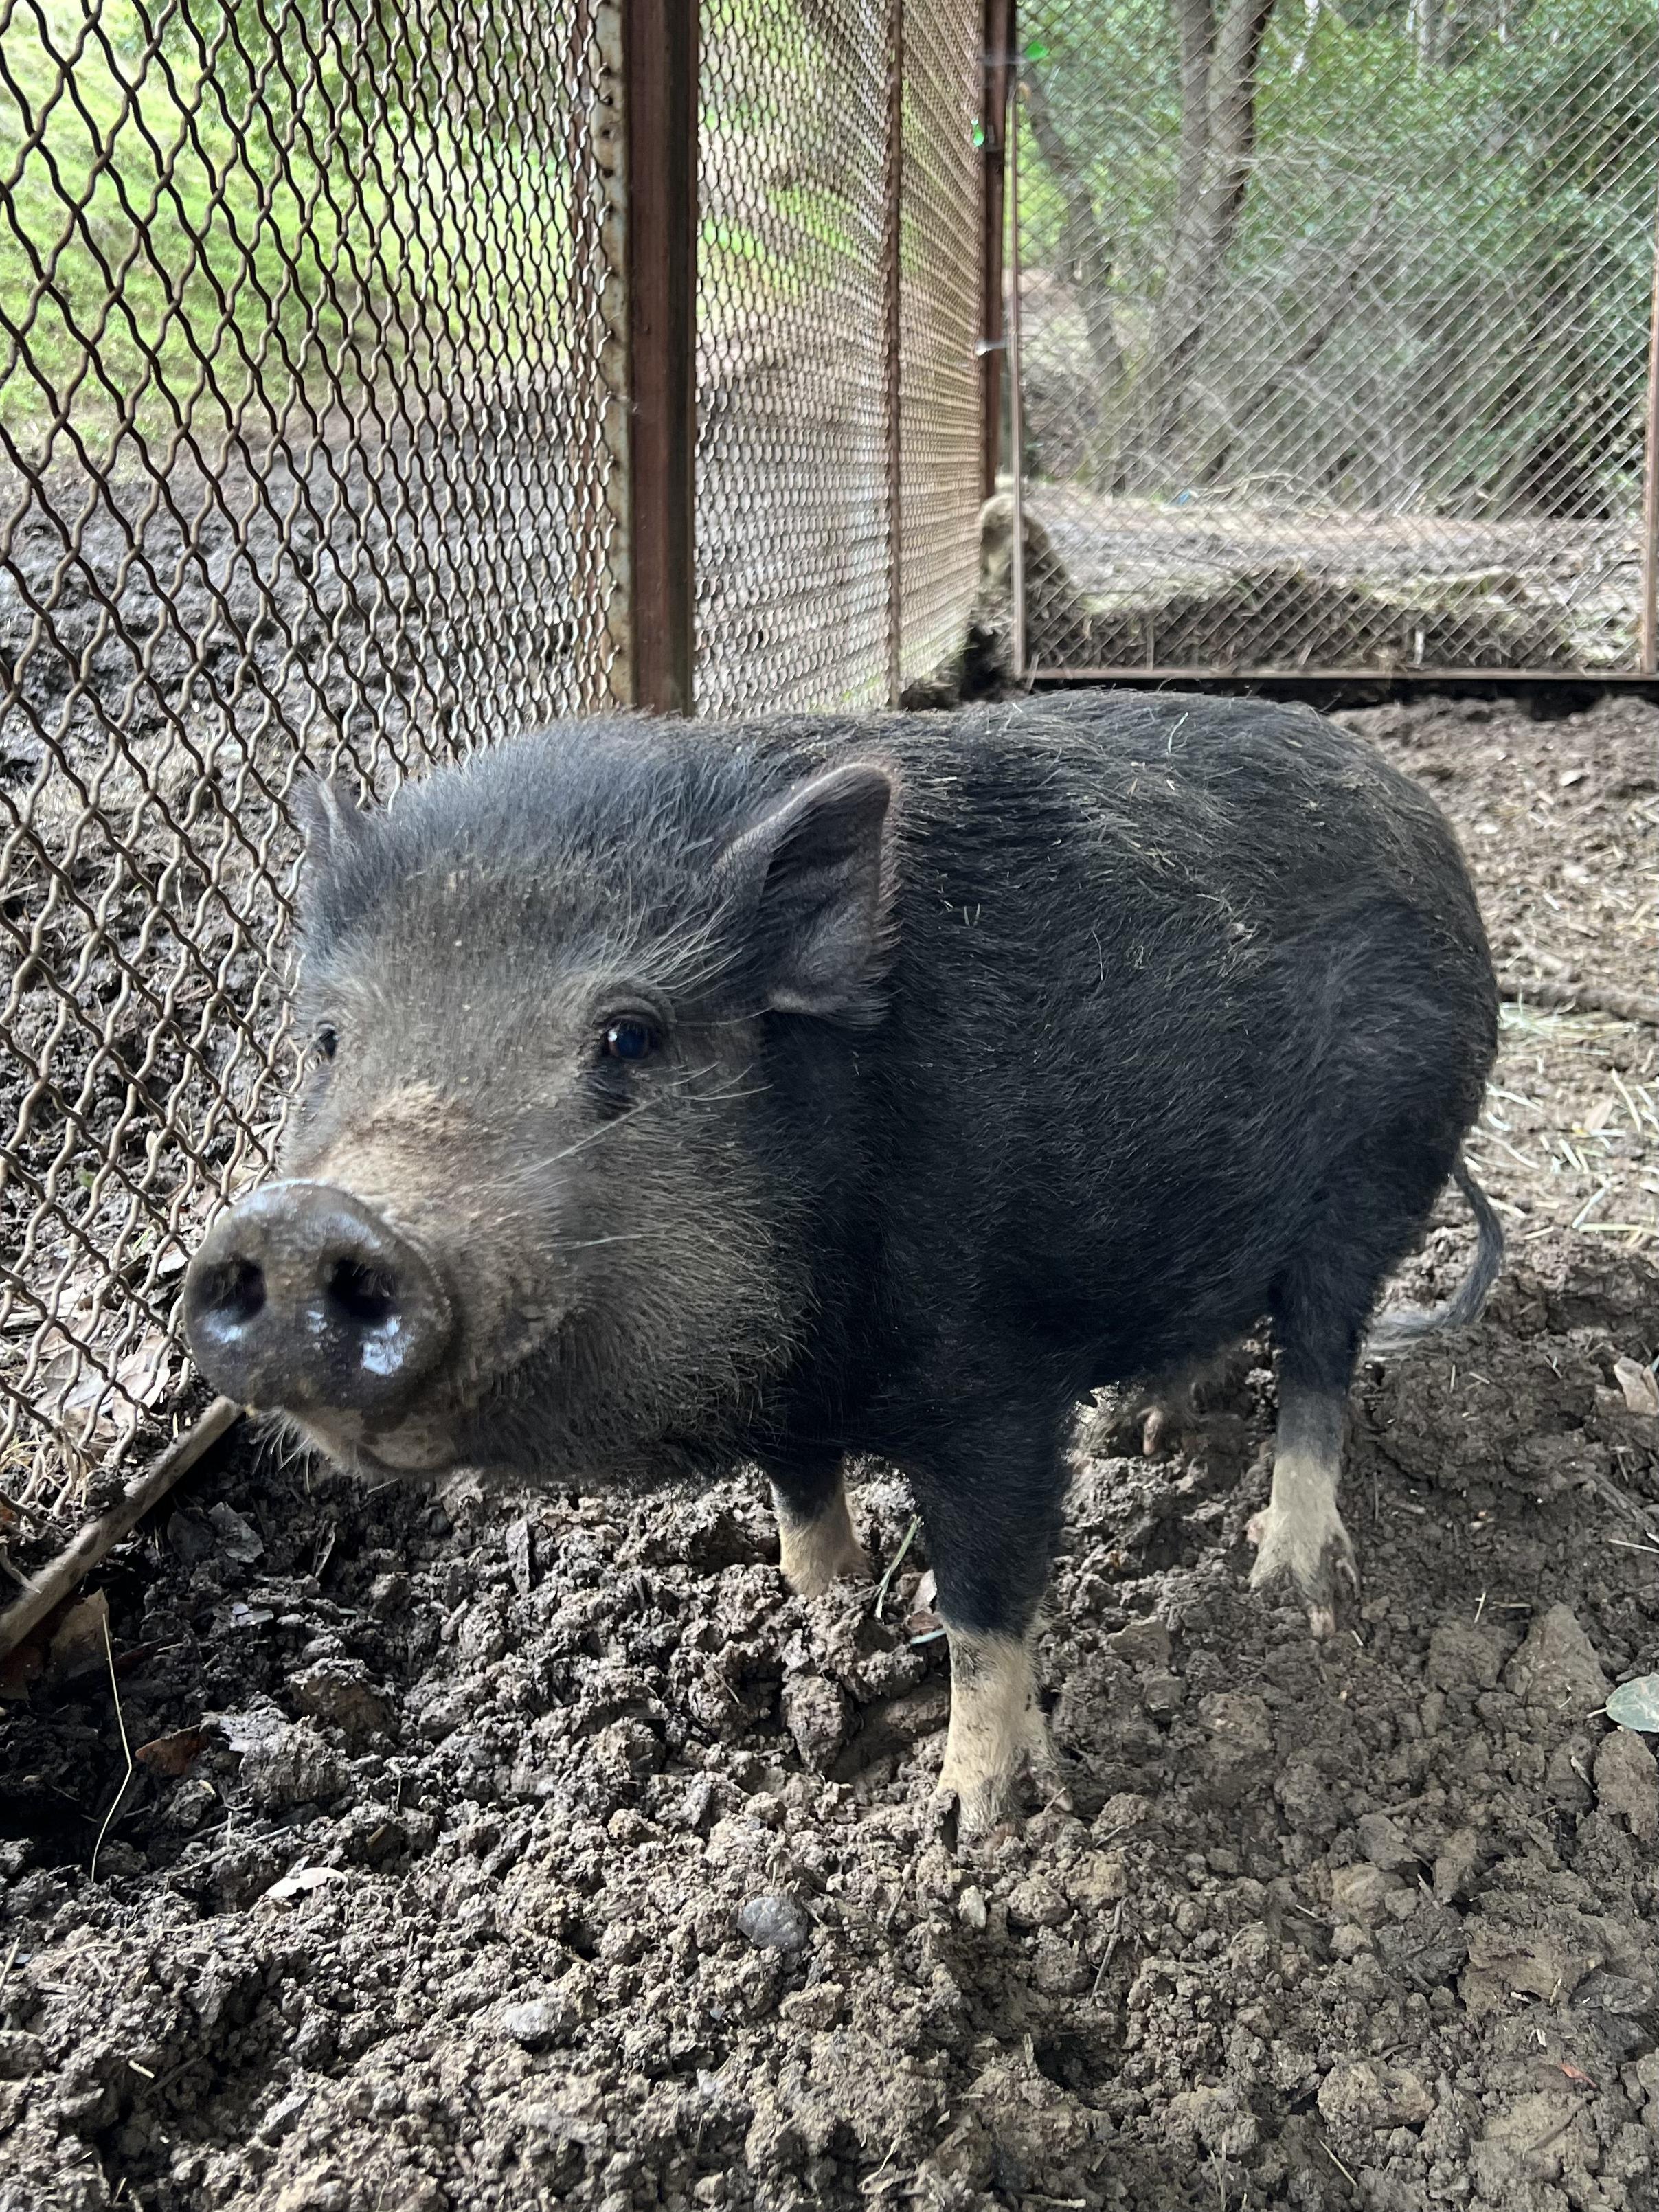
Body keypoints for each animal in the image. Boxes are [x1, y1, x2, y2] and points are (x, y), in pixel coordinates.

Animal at [185, 690, 1502, 1835]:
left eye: (629, 1035)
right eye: (328, 1038)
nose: (301, 1221)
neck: (813, 1353)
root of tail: (1423, 816)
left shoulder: (995, 1388)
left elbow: (985, 1608)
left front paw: (966, 1822)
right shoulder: (790, 1402)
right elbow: (802, 1505)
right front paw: (814, 1612)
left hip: (1380, 1181)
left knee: (1319, 1374)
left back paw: (1283, 1584)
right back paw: (1150, 1432)